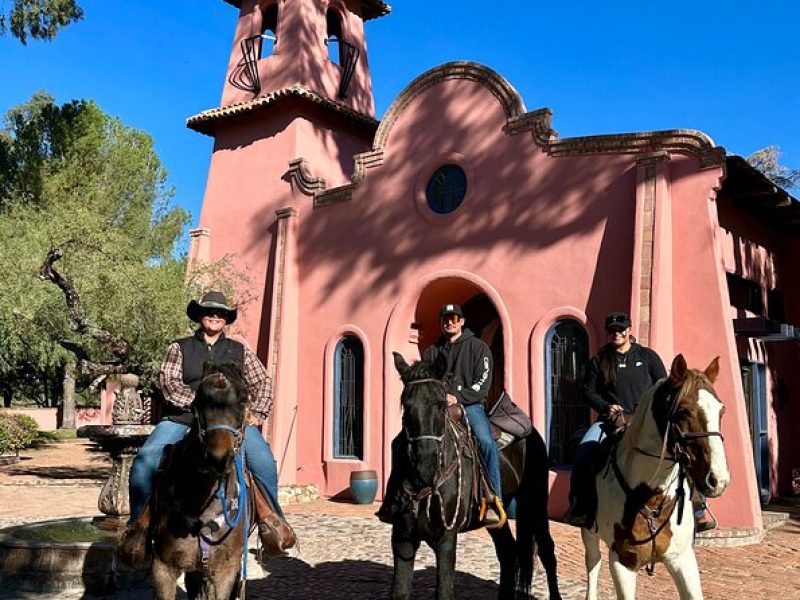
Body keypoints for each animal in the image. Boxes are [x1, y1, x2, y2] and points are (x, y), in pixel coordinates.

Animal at [390, 352, 560, 600]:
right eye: (406, 405)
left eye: (442, 405)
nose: (426, 467)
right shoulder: (402, 539)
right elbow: (399, 592)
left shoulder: (446, 539)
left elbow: (444, 591)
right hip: (498, 517)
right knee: (508, 552)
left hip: (534, 502)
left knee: (546, 551)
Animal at [580, 356, 732, 600]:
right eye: (683, 411)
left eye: (721, 410)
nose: (718, 480)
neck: (650, 497)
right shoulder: (623, 564)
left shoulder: (683, 559)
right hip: (589, 533)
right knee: (593, 562)